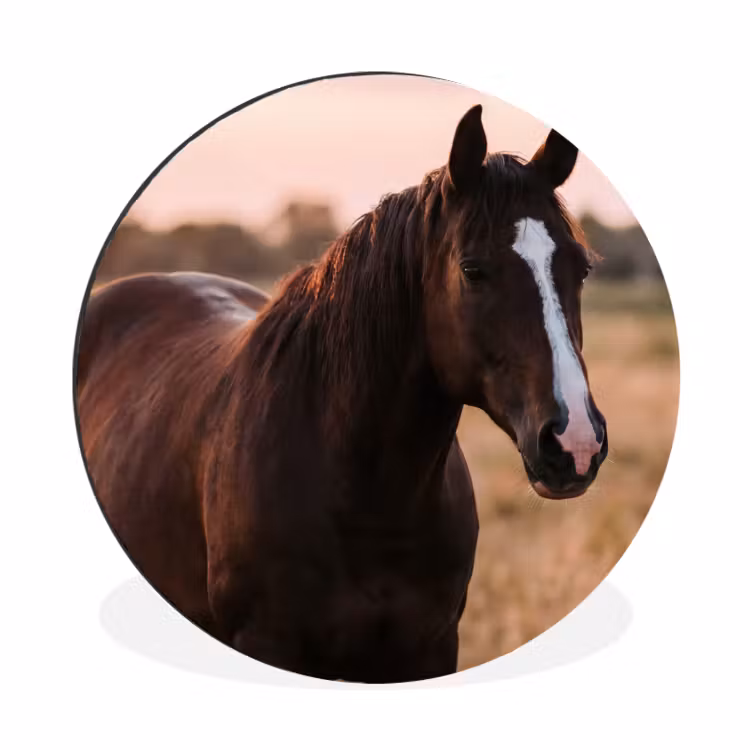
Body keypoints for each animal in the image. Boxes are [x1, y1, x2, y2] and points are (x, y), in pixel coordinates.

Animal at [75, 104, 608, 683]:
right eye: (472, 270)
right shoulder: (267, 643)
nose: (575, 442)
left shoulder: (430, 648)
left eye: (581, 268)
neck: (368, 500)